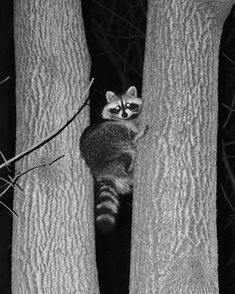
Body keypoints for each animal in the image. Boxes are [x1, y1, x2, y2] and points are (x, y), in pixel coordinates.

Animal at [79, 85, 145, 234]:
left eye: (129, 105)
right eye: (117, 108)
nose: (124, 115)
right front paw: (138, 133)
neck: (127, 120)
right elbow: (131, 133)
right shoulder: (121, 125)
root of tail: (101, 172)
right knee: (127, 149)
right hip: (110, 148)